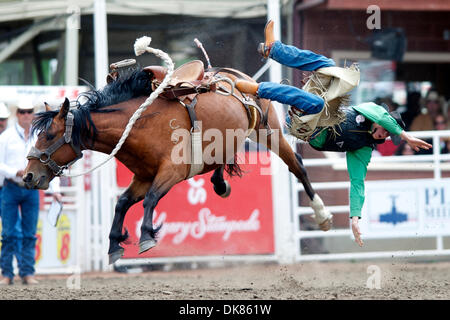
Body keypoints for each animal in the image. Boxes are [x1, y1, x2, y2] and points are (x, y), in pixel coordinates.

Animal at [22, 65, 330, 262]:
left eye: (48, 135)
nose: (27, 176)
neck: (137, 124)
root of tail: (235, 75)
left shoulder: (170, 172)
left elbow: (150, 199)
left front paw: (146, 236)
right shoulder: (143, 176)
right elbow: (122, 202)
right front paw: (113, 244)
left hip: (269, 130)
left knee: (297, 165)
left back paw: (322, 215)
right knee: (223, 157)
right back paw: (220, 182)